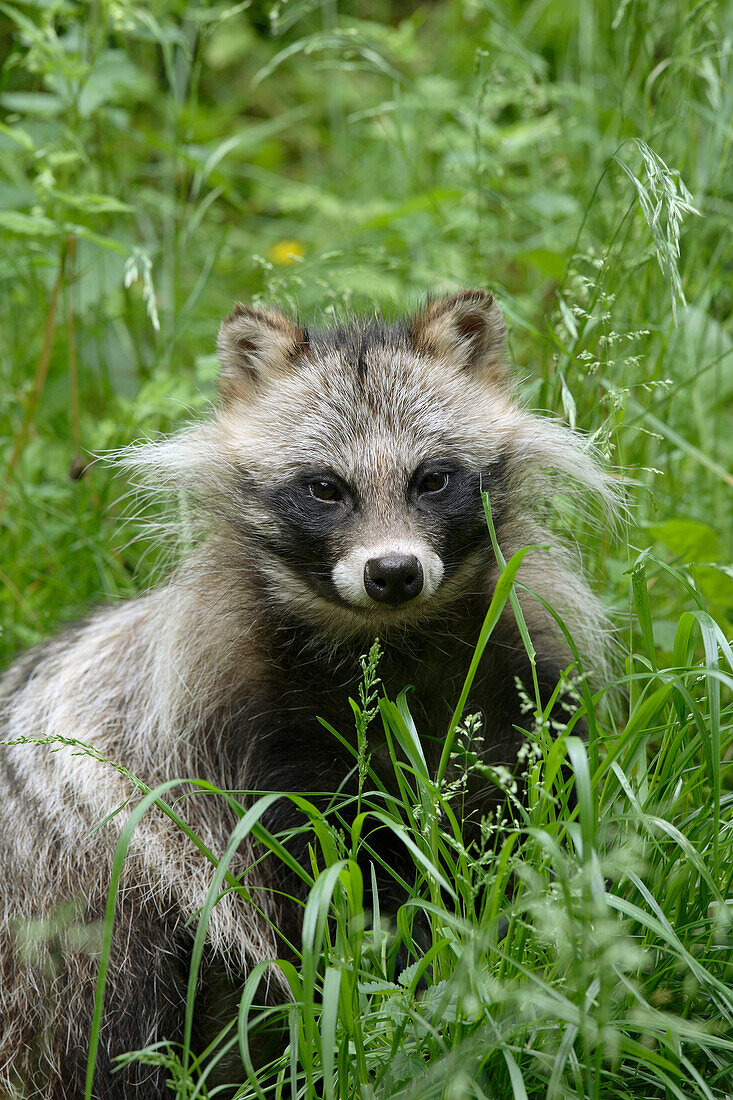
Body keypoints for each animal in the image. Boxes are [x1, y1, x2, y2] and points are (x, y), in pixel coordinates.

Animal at [0, 292, 611, 1100]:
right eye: (325, 487)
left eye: (432, 478)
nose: (393, 572)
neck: (387, 651)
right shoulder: (227, 743)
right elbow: (302, 898)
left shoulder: (511, 685)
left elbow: (522, 833)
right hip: (69, 897)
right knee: (112, 1005)